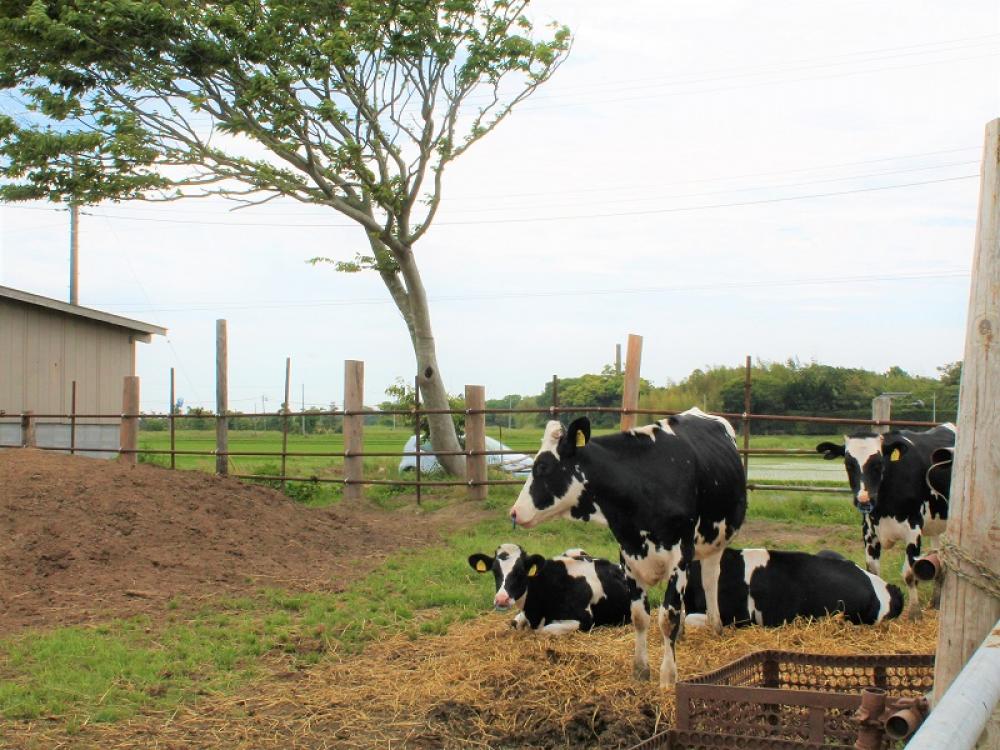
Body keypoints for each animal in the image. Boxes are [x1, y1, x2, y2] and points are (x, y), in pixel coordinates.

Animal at [467, 544, 631, 634]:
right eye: (495, 571)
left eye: (521, 572)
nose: (501, 599)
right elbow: (514, 623)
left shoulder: (585, 620)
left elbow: (543, 631)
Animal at [509, 407, 747, 688]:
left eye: (542, 466)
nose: (514, 512)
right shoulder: (629, 557)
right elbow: (639, 616)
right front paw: (640, 670)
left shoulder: (679, 557)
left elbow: (667, 618)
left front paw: (668, 678)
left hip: (715, 541)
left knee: (710, 581)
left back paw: (716, 626)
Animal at [816, 423, 956, 619]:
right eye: (848, 464)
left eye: (879, 463)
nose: (864, 500)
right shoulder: (868, 531)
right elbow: (873, 571)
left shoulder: (913, 529)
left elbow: (910, 574)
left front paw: (914, 613)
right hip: (936, 525)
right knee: (939, 562)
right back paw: (935, 602)